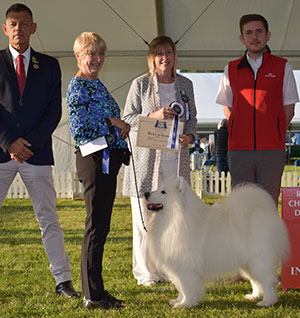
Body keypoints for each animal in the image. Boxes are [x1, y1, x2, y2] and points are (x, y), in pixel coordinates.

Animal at [145, 176, 290, 308]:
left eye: (163, 192)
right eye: (157, 188)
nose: (146, 193)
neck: (174, 218)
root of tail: (264, 212)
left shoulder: (185, 267)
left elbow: (186, 288)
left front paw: (185, 304)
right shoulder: (176, 266)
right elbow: (180, 287)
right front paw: (178, 300)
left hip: (258, 261)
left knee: (268, 281)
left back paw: (267, 302)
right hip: (248, 263)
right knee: (256, 281)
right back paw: (254, 296)